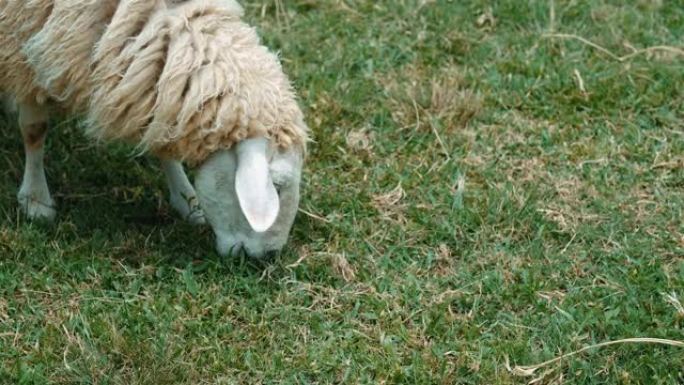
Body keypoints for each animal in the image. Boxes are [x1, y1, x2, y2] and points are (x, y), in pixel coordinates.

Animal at [0, 0, 308, 260]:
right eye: (277, 186)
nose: (269, 256)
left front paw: (187, 201)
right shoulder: (25, 38)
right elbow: (35, 129)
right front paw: (36, 200)